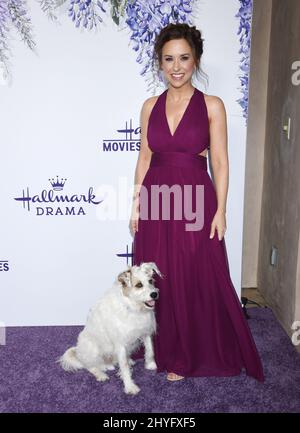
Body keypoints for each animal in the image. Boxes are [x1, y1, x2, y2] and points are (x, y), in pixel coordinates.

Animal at [57, 262, 163, 394]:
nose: (154, 294)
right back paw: (101, 374)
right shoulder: (120, 343)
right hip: (93, 349)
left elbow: (150, 350)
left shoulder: (145, 331)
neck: (133, 308)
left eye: (150, 281)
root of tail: (79, 352)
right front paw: (130, 386)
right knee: (90, 366)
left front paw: (150, 364)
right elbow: (124, 367)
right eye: (139, 285)